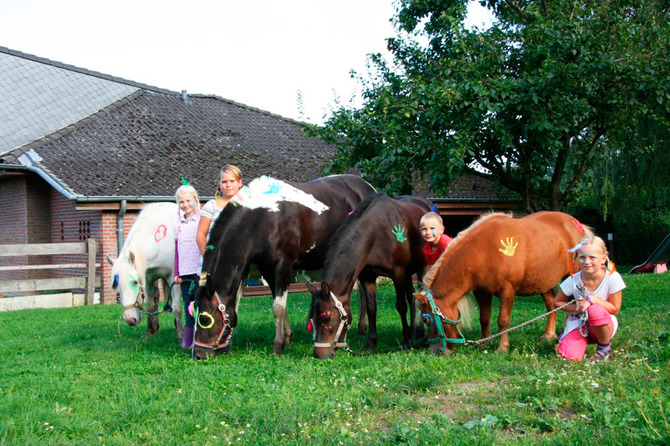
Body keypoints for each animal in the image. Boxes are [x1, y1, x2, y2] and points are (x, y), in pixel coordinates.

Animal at [109, 202, 185, 342]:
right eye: (117, 285)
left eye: (134, 282)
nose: (130, 319)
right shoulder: (149, 278)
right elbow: (150, 305)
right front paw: (149, 333)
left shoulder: (174, 277)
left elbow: (177, 307)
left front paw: (181, 336)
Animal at [193, 174, 378, 358]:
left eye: (204, 319)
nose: (198, 354)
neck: (264, 217)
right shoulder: (266, 269)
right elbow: (278, 303)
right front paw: (287, 337)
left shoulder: (283, 264)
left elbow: (278, 307)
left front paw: (278, 345)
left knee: (362, 291)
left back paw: (362, 328)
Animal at [308, 193, 430, 358]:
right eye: (312, 319)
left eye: (326, 318)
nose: (319, 354)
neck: (376, 234)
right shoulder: (367, 277)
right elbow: (371, 309)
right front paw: (371, 342)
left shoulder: (398, 272)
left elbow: (401, 306)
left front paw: (405, 340)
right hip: (408, 273)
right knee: (411, 296)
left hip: (422, 268)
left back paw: (417, 332)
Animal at [418, 212, 592, 356]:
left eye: (427, 320)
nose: (436, 351)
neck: (484, 251)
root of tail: (575, 223)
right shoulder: (481, 292)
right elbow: (484, 318)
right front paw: (484, 343)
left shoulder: (507, 290)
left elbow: (503, 320)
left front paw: (502, 347)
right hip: (543, 282)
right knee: (551, 306)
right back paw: (548, 335)